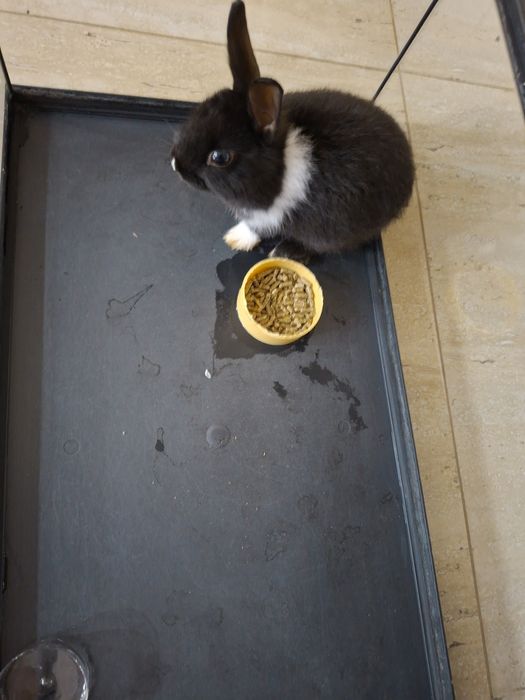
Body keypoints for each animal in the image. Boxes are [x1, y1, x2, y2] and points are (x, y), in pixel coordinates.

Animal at [171, 0, 414, 261]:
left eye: (220, 157)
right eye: (200, 109)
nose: (176, 165)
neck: (281, 165)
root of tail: (409, 169)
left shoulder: (272, 216)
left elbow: (257, 229)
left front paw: (237, 239)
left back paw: (284, 252)